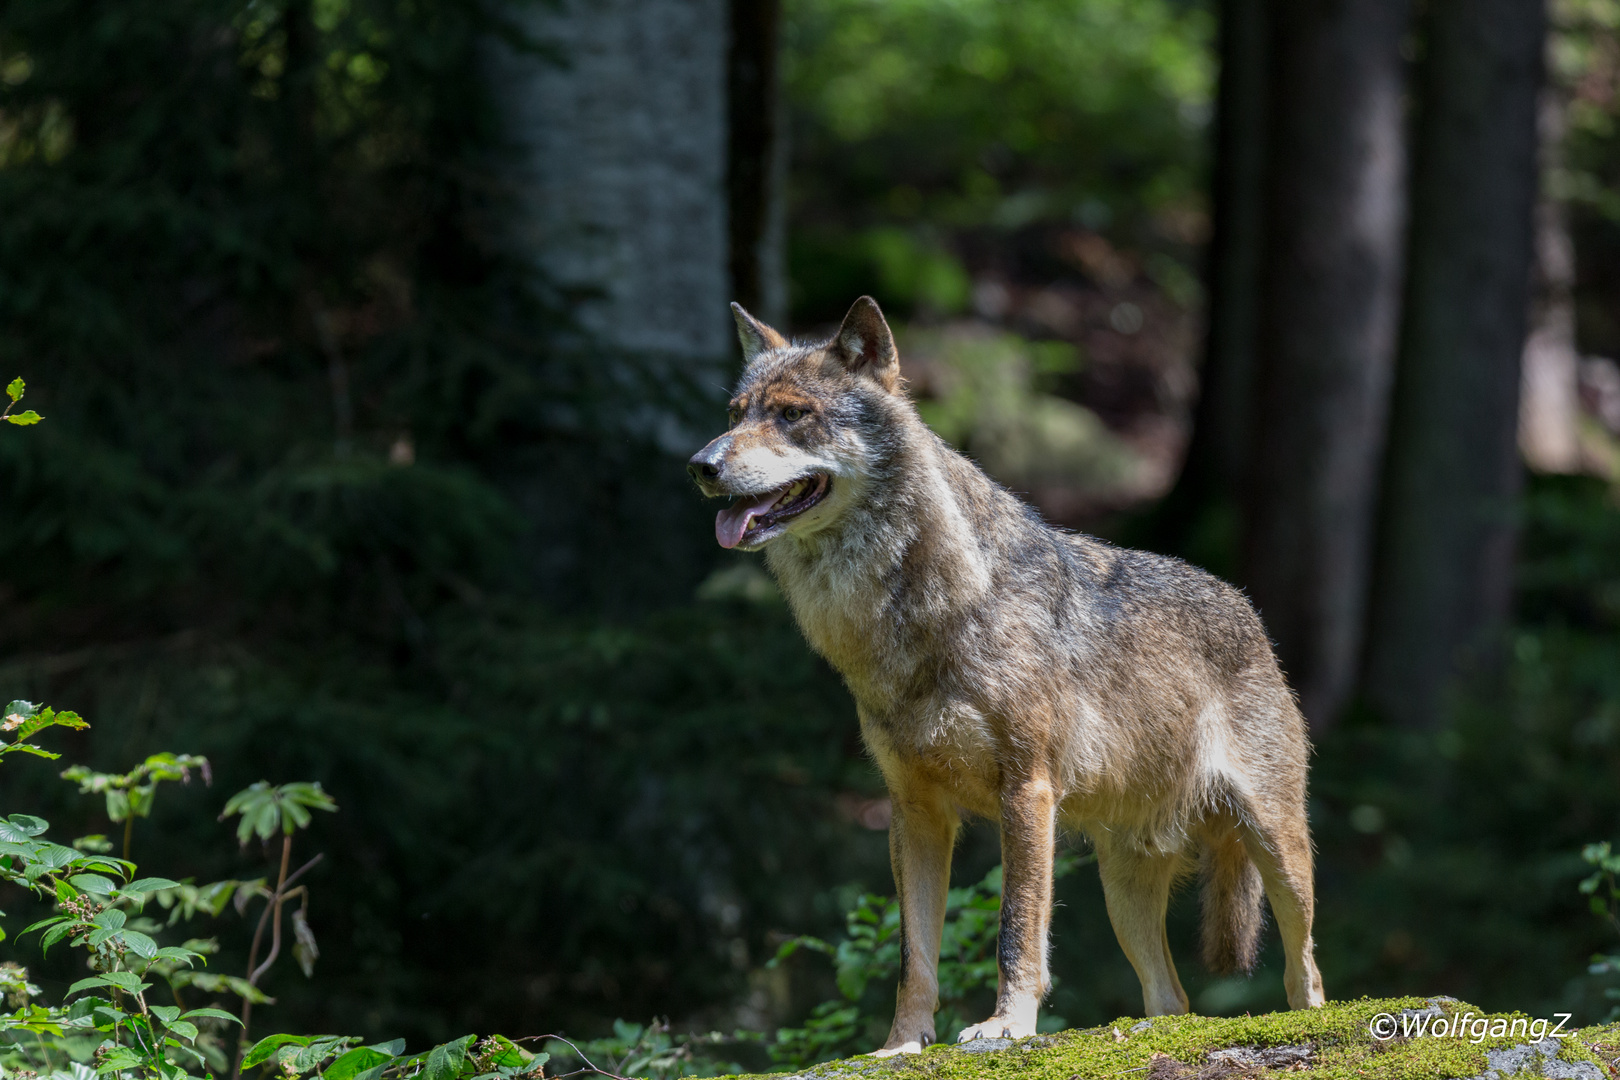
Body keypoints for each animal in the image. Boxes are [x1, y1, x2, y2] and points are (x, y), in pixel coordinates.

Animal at [686, 297, 1328, 1055]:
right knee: (1174, 1001)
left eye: (791, 415)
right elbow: (913, 957)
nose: (699, 464)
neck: (916, 615)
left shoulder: (1026, 792)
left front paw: (1005, 1027)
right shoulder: (914, 813)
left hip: (1276, 850)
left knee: (1306, 969)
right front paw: (900, 1045)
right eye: (735, 413)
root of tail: (1249, 611)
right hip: (1122, 891)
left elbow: (1015, 931)